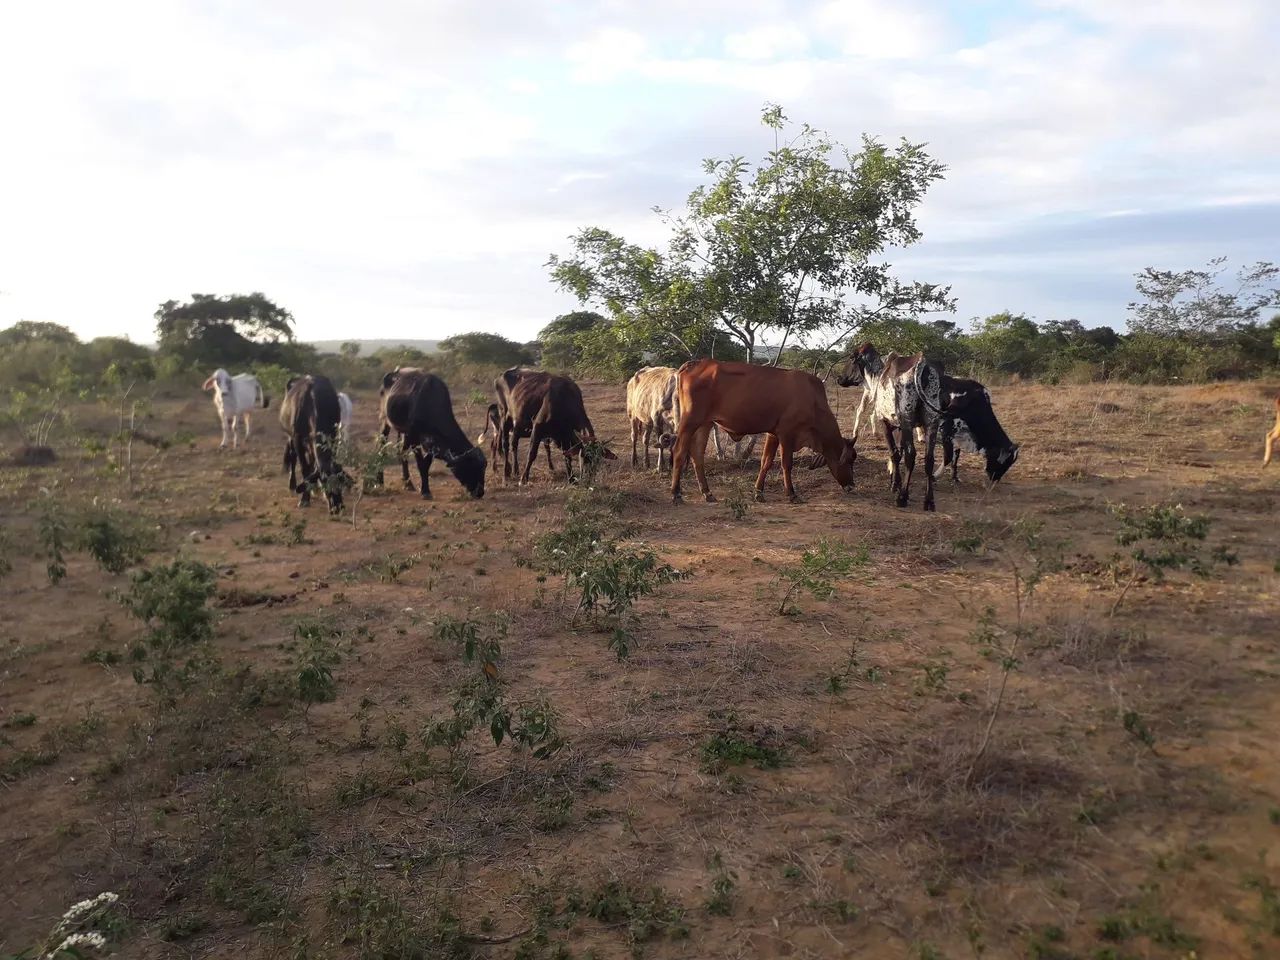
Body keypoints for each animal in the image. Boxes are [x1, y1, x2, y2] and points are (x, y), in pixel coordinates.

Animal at [279, 375, 345, 513]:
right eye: (325, 481)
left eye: (340, 480)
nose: (338, 507)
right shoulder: (297, 439)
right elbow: (305, 469)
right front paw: (305, 499)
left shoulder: (334, 436)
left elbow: (313, 467)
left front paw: (313, 489)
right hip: (291, 437)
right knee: (293, 458)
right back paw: (292, 484)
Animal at [378, 368, 486, 500]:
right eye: (471, 467)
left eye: (483, 468)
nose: (480, 492)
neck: (430, 402)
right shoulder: (415, 436)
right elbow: (420, 464)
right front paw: (425, 491)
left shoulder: (433, 443)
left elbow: (426, 464)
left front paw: (424, 488)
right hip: (385, 422)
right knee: (382, 449)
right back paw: (380, 482)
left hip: (405, 435)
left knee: (403, 454)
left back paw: (408, 484)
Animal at [669, 359, 856, 504]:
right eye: (849, 460)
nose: (851, 486)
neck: (814, 401)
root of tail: (693, 364)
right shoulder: (787, 434)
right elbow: (786, 464)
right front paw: (792, 494)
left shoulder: (773, 434)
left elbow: (766, 462)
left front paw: (759, 492)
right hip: (690, 421)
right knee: (679, 451)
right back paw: (676, 493)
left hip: (705, 424)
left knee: (697, 455)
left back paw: (707, 493)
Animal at [835, 343, 945, 511]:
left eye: (852, 358)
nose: (839, 379)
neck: (878, 376)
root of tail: (922, 366)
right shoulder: (899, 427)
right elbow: (898, 452)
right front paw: (895, 481)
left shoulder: (885, 422)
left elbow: (895, 454)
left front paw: (895, 485)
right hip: (931, 423)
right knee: (929, 459)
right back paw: (929, 501)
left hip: (907, 421)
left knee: (911, 456)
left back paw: (902, 497)